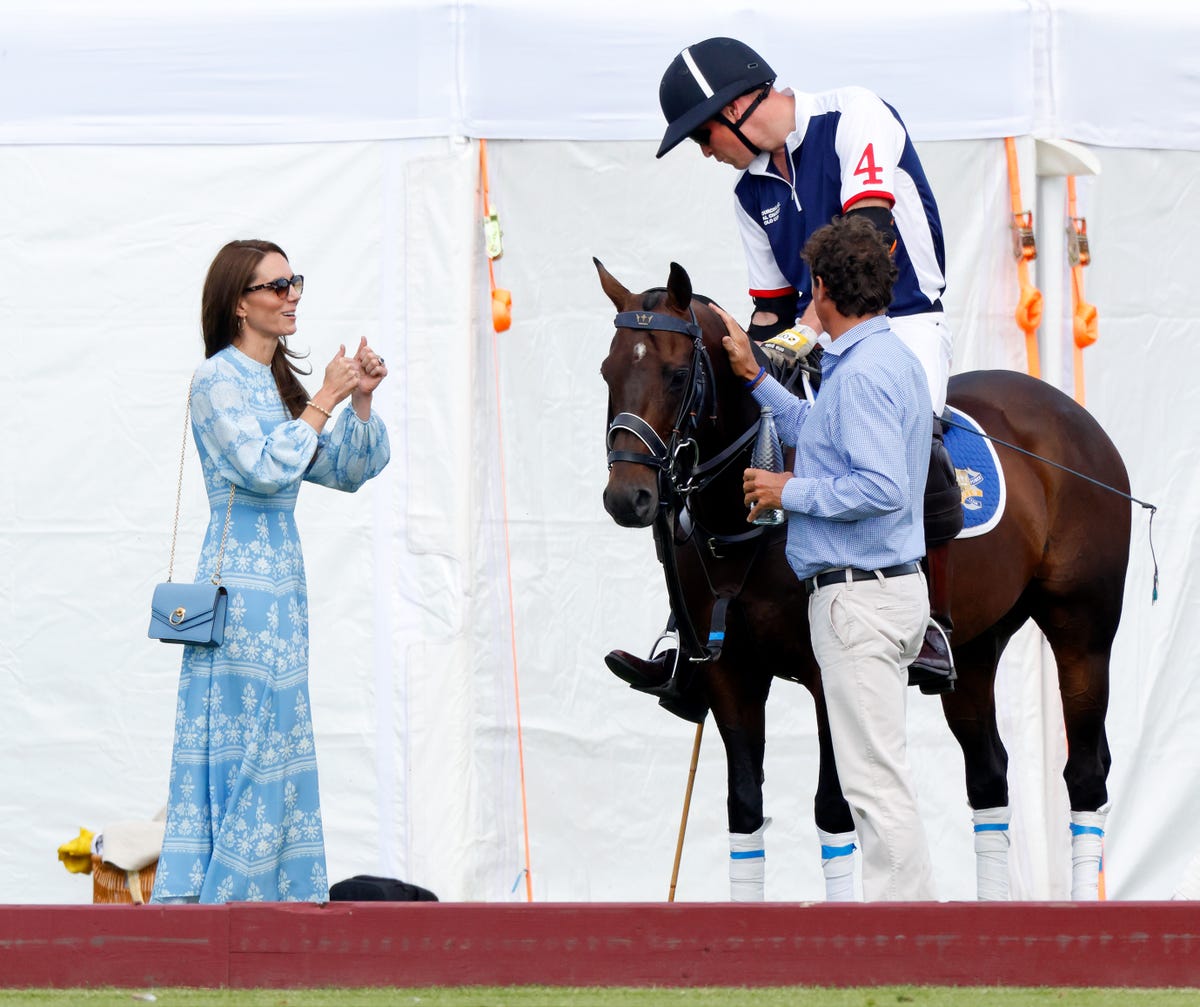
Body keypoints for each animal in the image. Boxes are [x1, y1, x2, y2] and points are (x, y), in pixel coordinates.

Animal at [600, 258, 1132, 897]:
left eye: (678, 375)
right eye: (606, 372)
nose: (627, 498)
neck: (739, 521)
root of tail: (1072, 414)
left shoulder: (827, 671)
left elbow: (834, 810)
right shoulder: (731, 676)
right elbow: (745, 809)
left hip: (1083, 630)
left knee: (1086, 772)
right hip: (979, 645)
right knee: (988, 775)